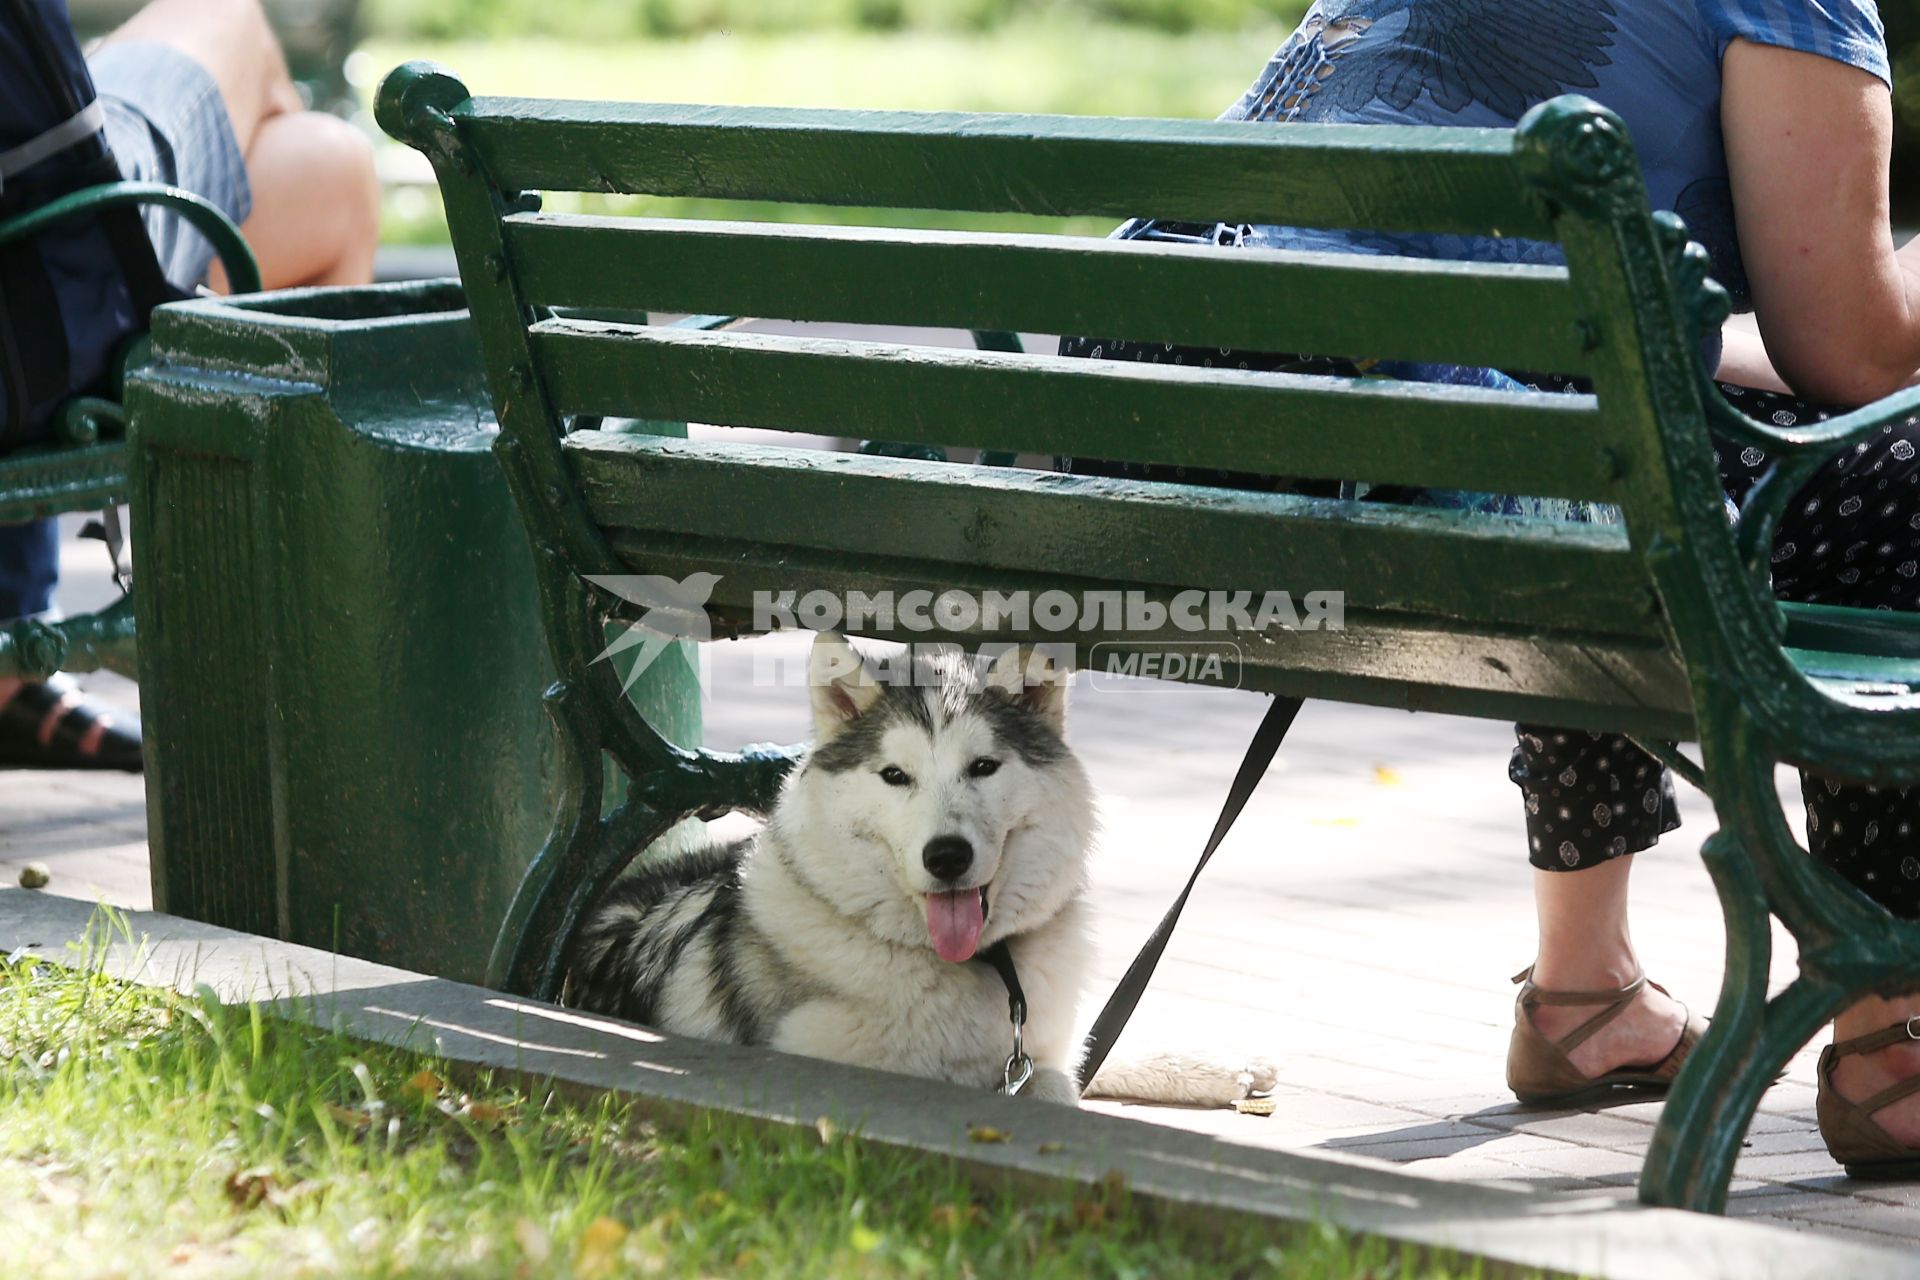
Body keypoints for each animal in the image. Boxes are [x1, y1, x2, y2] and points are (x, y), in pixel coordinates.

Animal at [568, 637, 1274, 1105]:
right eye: (894, 775)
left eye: (983, 767)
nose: (947, 856)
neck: (982, 965)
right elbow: (1056, 1085)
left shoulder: (1033, 1052)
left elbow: (1062, 1071)